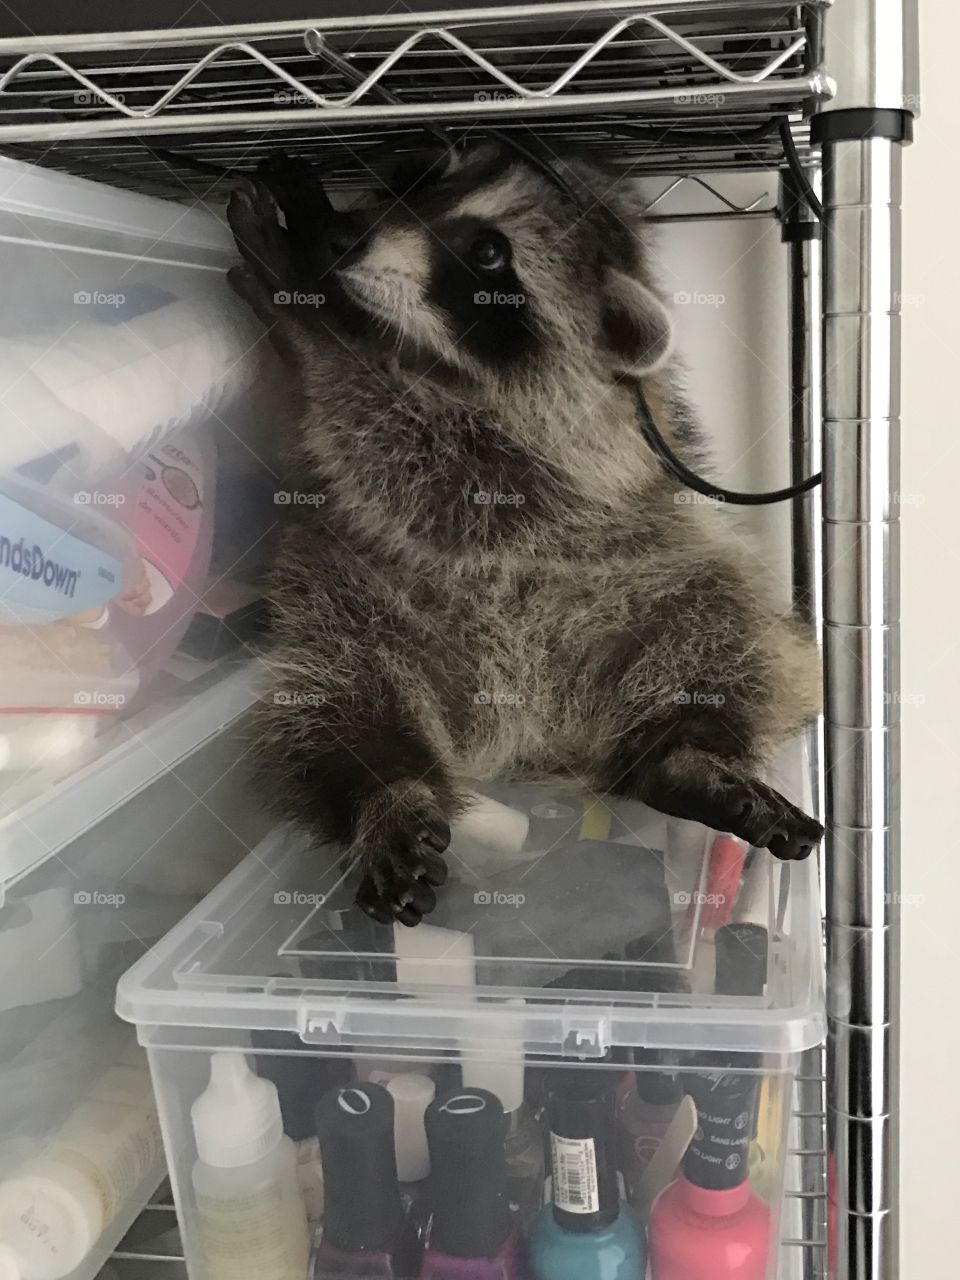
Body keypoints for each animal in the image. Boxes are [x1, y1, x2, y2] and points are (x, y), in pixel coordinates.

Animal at [227, 144, 823, 927]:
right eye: (421, 183)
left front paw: (311, 319)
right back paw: (385, 792)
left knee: (724, 629)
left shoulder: (575, 450)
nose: (340, 240)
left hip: (660, 581)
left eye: (488, 254)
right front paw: (314, 287)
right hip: (354, 616)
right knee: (336, 707)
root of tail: (532, 740)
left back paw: (685, 757)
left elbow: (420, 459)